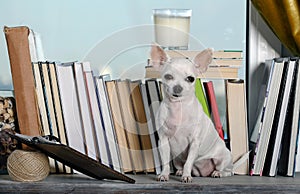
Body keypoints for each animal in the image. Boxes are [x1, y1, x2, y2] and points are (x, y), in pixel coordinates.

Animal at [151, 44, 233, 183]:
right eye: (168, 77)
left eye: (190, 79)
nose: (178, 88)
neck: (178, 108)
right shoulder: (163, 141)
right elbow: (166, 162)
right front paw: (164, 174)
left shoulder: (194, 142)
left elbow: (188, 162)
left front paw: (186, 176)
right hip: (177, 158)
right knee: (180, 164)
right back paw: (179, 171)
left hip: (223, 158)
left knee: (228, 171)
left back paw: (218, 173)